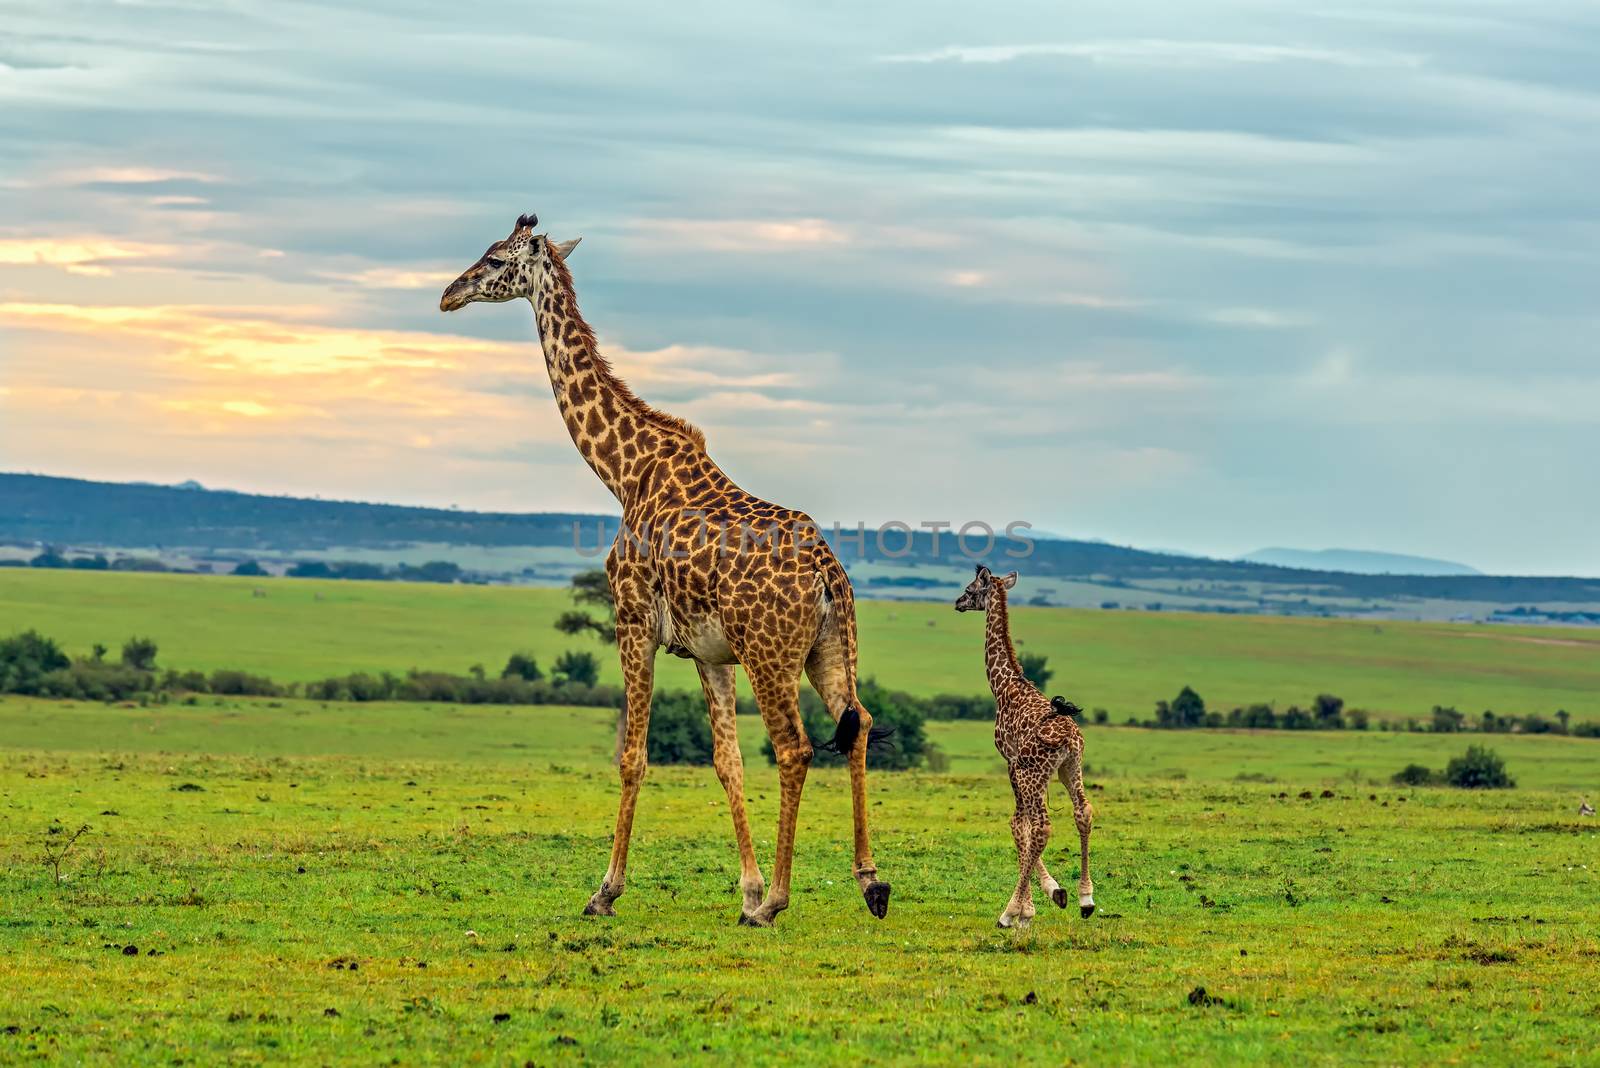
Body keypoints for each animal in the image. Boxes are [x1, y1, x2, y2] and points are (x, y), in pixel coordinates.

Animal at [441, 211, 889, 927]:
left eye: (494, 259)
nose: (448, 295)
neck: (622, 472)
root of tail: (828, 572)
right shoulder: (709, 652)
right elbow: (727, 762)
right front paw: (747, 888)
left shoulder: (631, 622)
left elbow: (632, 757)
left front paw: (605, 891)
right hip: (827, 647)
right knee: (860, 724)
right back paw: (869, 882)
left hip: (770, 653)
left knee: (795, 747)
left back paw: (781, 902)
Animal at [953, 565, 1094, 927]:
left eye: (970, 589)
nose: (957, 602)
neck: (1003, 686)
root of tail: (1069, 738)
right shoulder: (1027, 769)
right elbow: (1024, 825)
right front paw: (1054, 892)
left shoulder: (1010, 761)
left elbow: (1020, 825)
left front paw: (1025, 909)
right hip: (1070, 768)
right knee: (1083, 811)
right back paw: (1086, 899)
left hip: (1034, 772)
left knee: (1042, 826)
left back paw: (1007, 912)